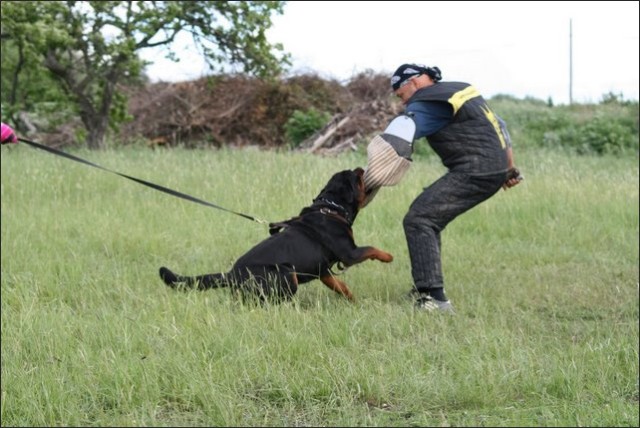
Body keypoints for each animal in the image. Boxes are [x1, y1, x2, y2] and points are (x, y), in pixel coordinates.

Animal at [158, 167, 392, 304]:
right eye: (356, 176)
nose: (361, 168)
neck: (330, 209)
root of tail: (232, 274)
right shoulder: (350, 253)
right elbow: (371, 248)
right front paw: (388, 256)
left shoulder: (323, 270)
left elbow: (340, 286)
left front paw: (352, 300)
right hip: (287, 273)